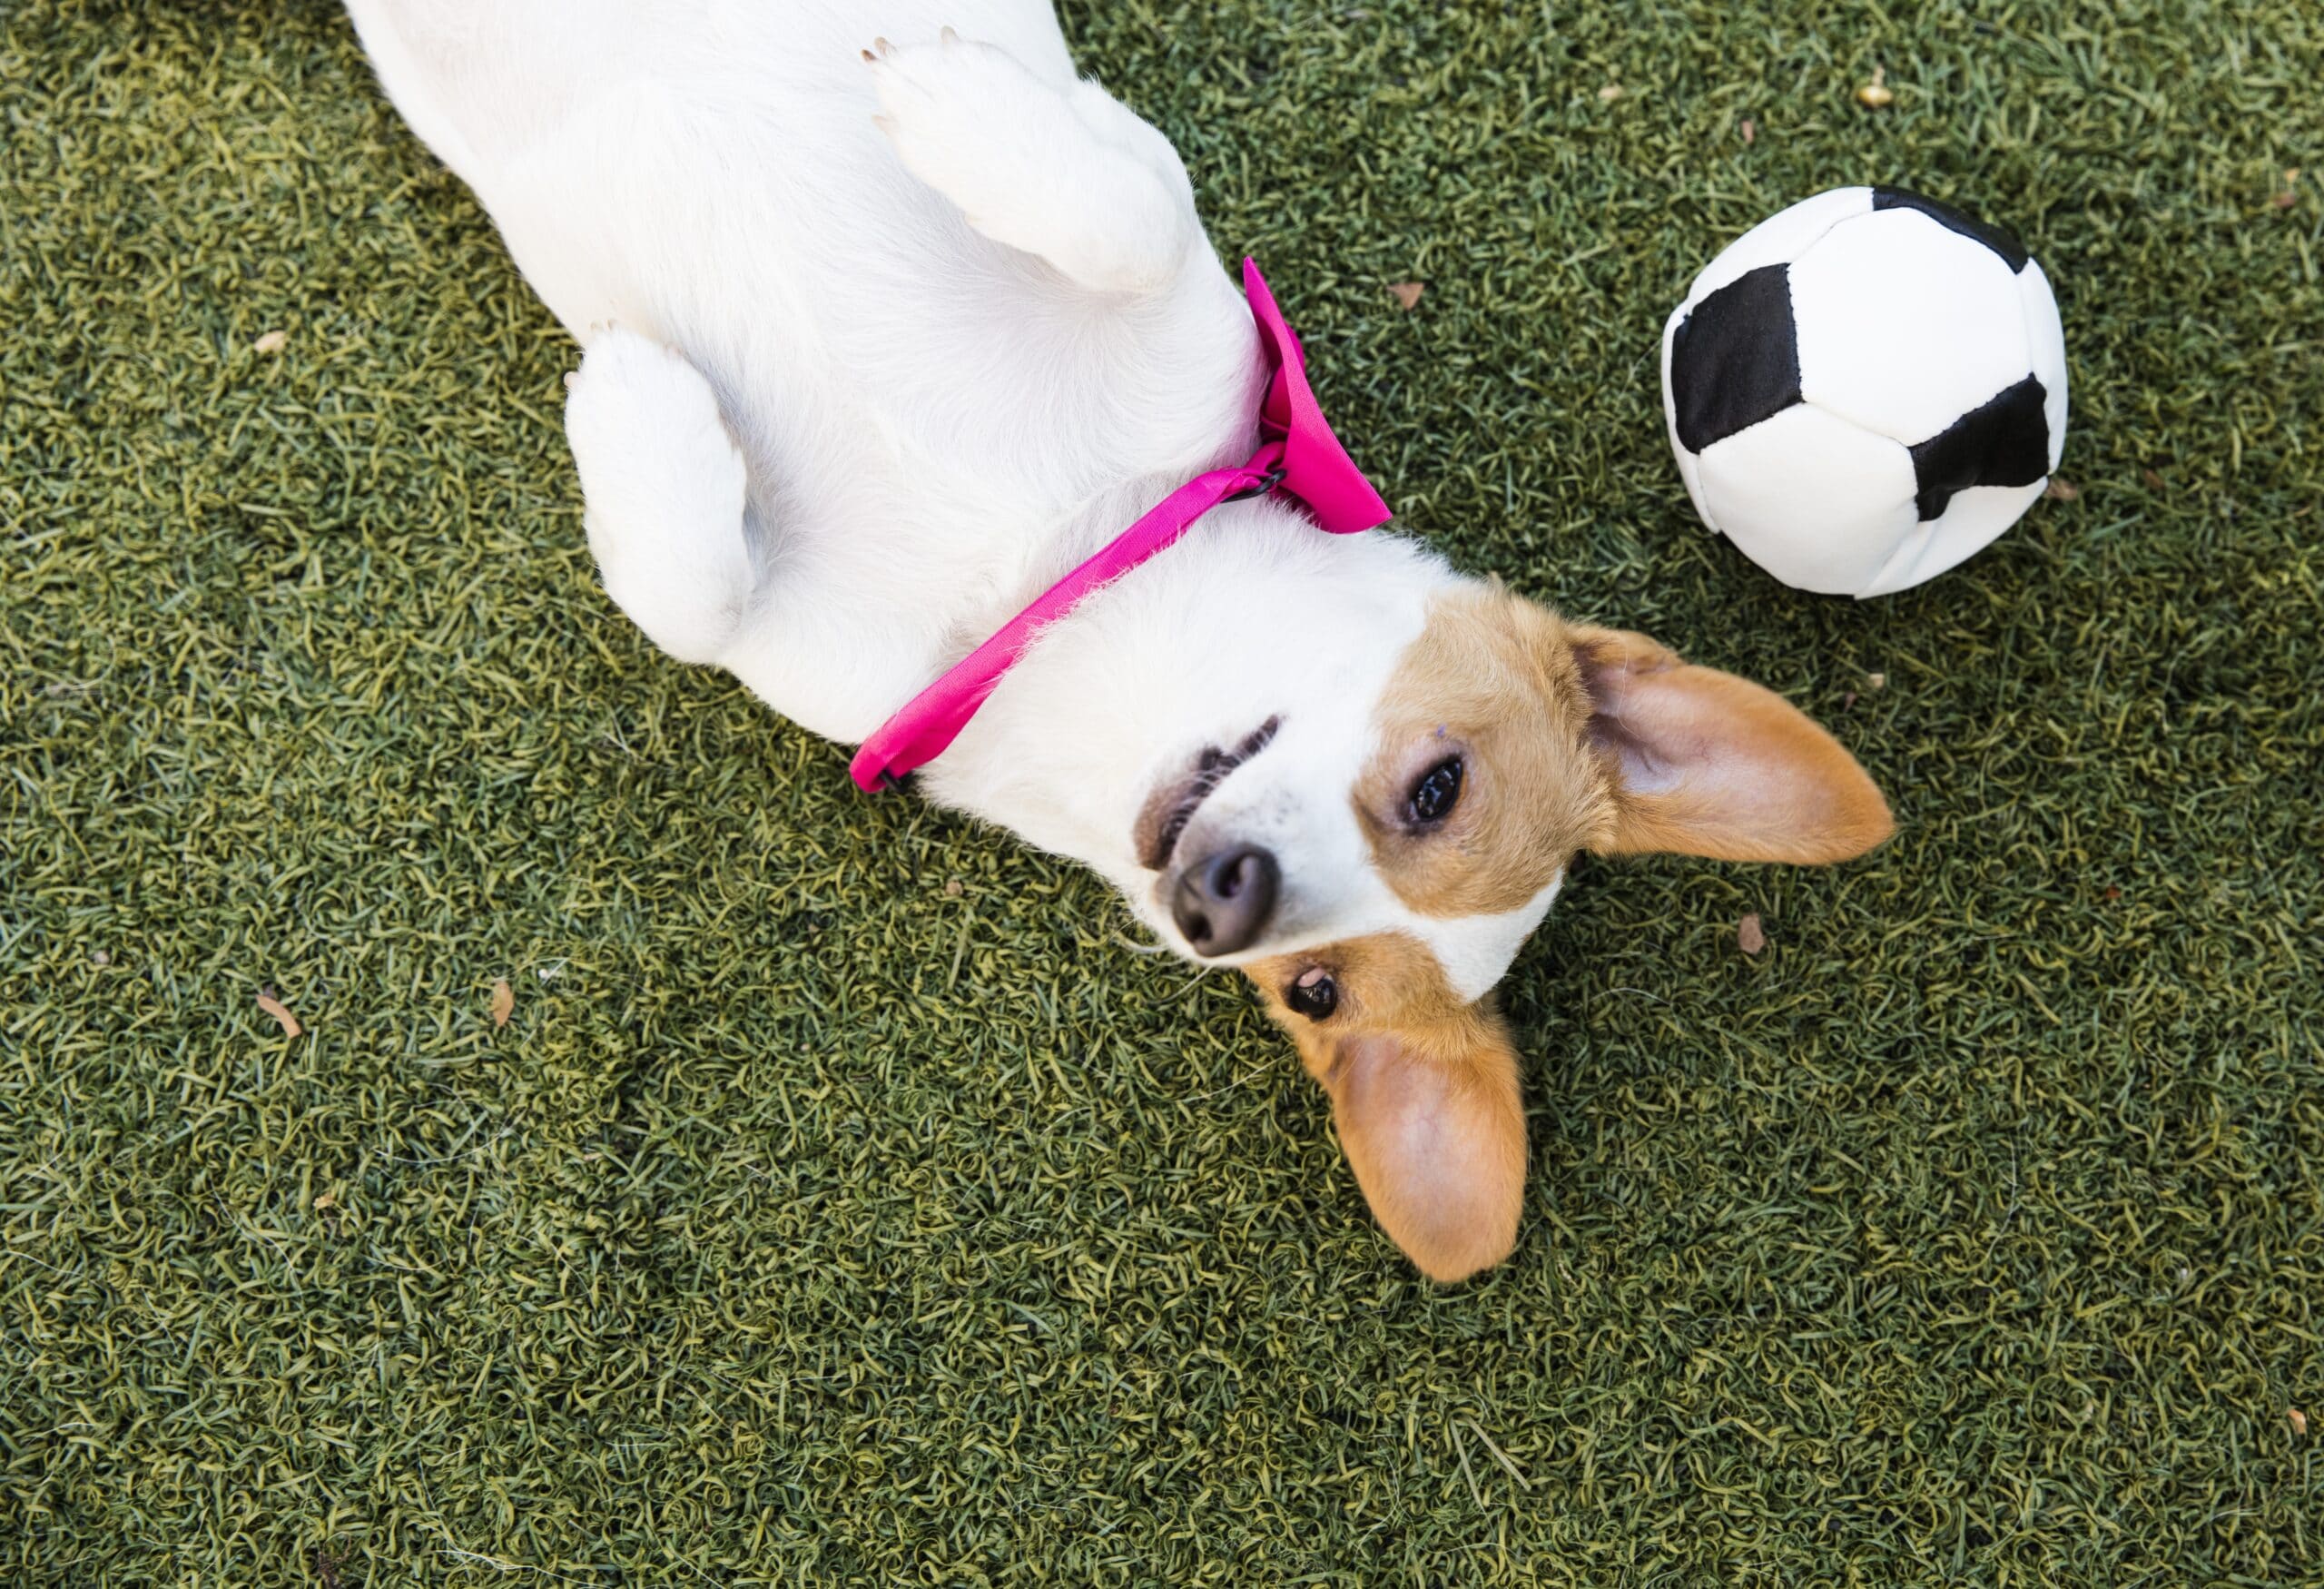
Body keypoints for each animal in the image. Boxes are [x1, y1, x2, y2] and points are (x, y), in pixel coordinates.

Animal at [353, 0, 1896, 1282]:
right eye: (1437, 786)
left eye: (1312, 988)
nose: (1218, 903)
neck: (1057, 575)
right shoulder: (1185, 301)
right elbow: (1129, 213)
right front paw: (957, 107)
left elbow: (689, 603)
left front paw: (635, 404)